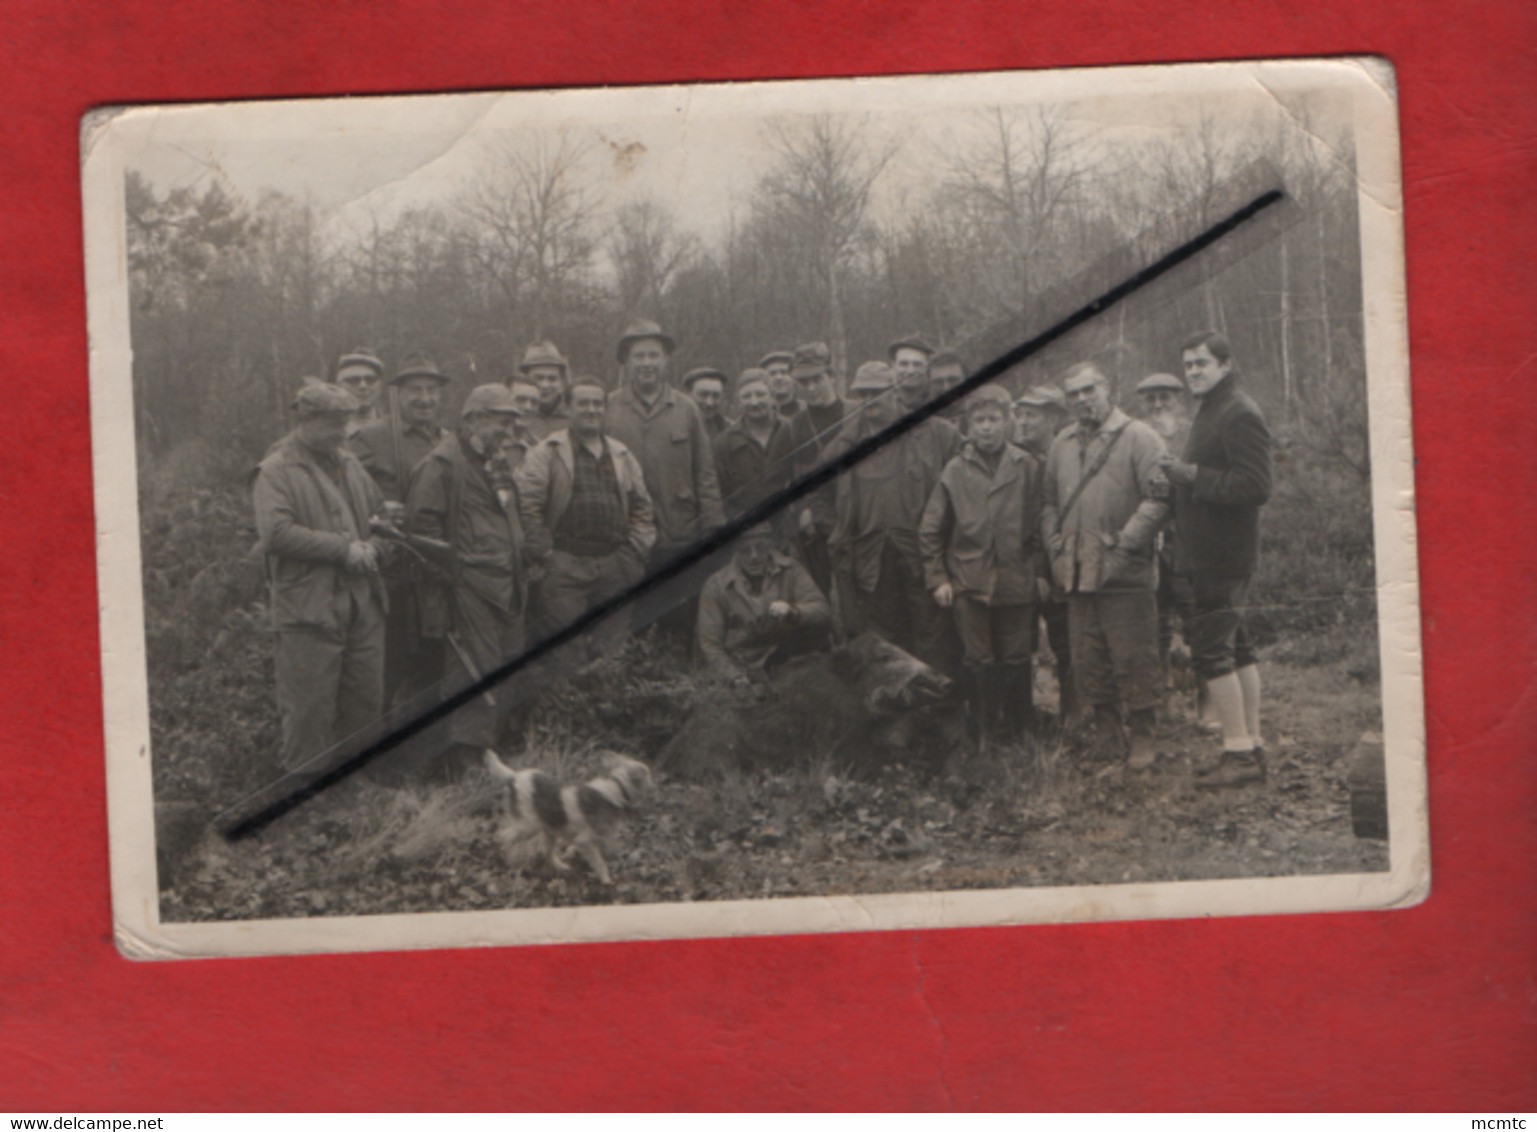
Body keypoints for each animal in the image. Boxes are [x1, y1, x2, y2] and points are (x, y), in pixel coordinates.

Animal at [479, 750, 648, 885]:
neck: (614, 789)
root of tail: (513, 777)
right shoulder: (585, 841)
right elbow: (600, 862)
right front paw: (606, 880)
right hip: (528, 828)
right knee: (504, 837)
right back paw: (512, 864)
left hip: (549, 831)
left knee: (544, 851)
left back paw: (560, 867)